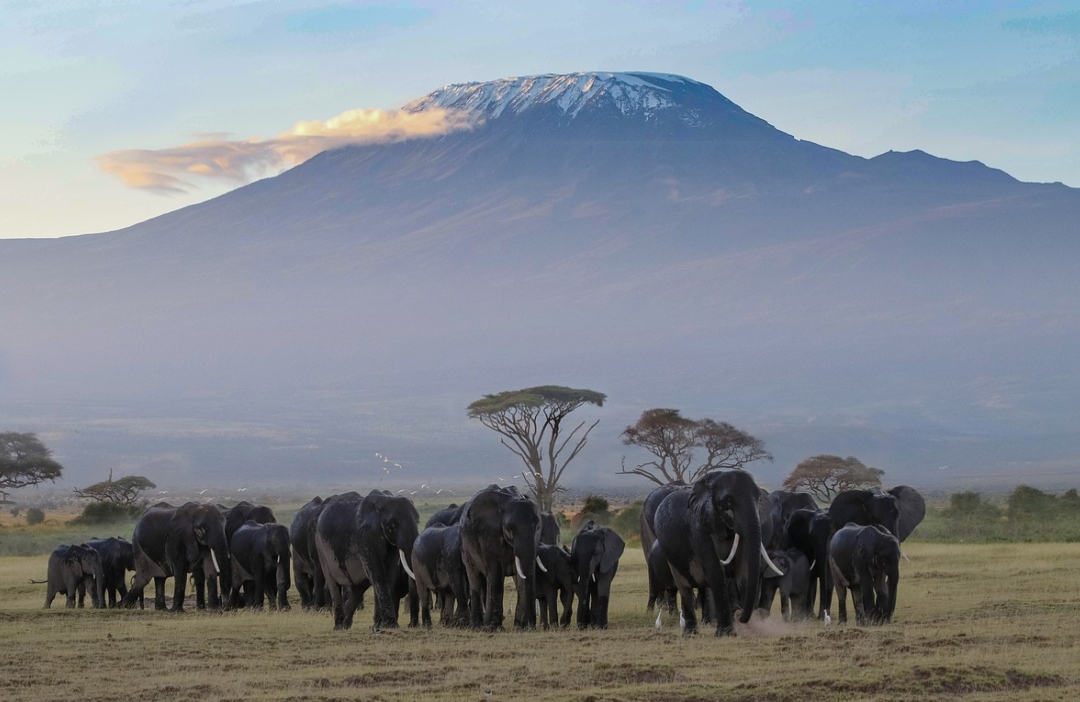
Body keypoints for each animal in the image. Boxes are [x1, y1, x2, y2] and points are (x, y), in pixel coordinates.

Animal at [315, 486, 419, 630]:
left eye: (418, 520)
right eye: (392, 526)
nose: (411, 625)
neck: (385, 502)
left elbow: (389, 573)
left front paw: (381, 626)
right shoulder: (365, 537)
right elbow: (378, 573)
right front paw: (390, 625)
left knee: (359, 586)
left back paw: (345, 625)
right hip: (321, 548)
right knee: (333, 584)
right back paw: (338, 627)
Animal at [457, 481, 540, 630]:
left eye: (537, 527)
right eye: (510, 528)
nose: (531, 626)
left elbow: (520, 576)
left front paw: (520, 627)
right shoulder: (488, 533)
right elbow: (495, 570)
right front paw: (492, 628)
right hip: (465, 547)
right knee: (475, 577)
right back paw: (476, 626)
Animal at [652, 470, 781, 635]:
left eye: (758, 499)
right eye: (728, 502)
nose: (739, 615)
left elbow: (743, 570)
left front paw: (748, 630)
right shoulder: (698, 528)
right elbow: (715, 571)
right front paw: (726, 634)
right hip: (671, 556)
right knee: (684, 587)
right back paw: (690, 634)